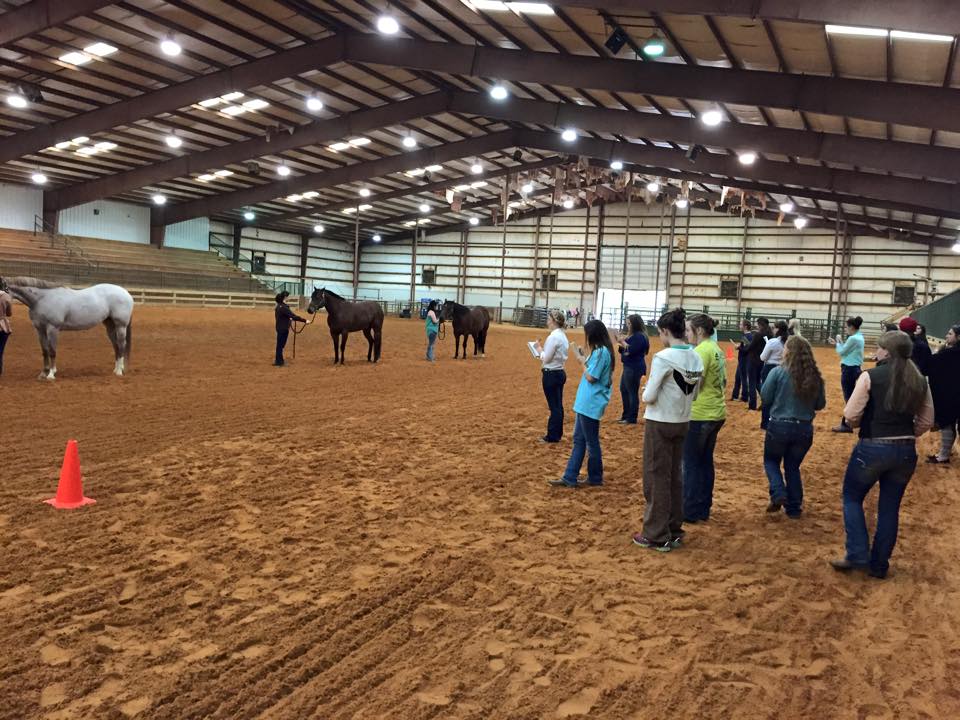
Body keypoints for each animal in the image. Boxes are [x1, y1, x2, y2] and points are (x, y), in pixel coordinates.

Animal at [0, 276, 135, 380]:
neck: (42, 299)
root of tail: (126, 293)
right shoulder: (40, 330)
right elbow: (45, 351)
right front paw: (43, 373)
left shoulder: (52, 328)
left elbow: (52, 351)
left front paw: (51, 374)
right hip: (110, 326)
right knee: (116, 346)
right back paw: (116, 369)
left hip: (120, 325)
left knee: (121, 345)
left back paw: (119, 372)